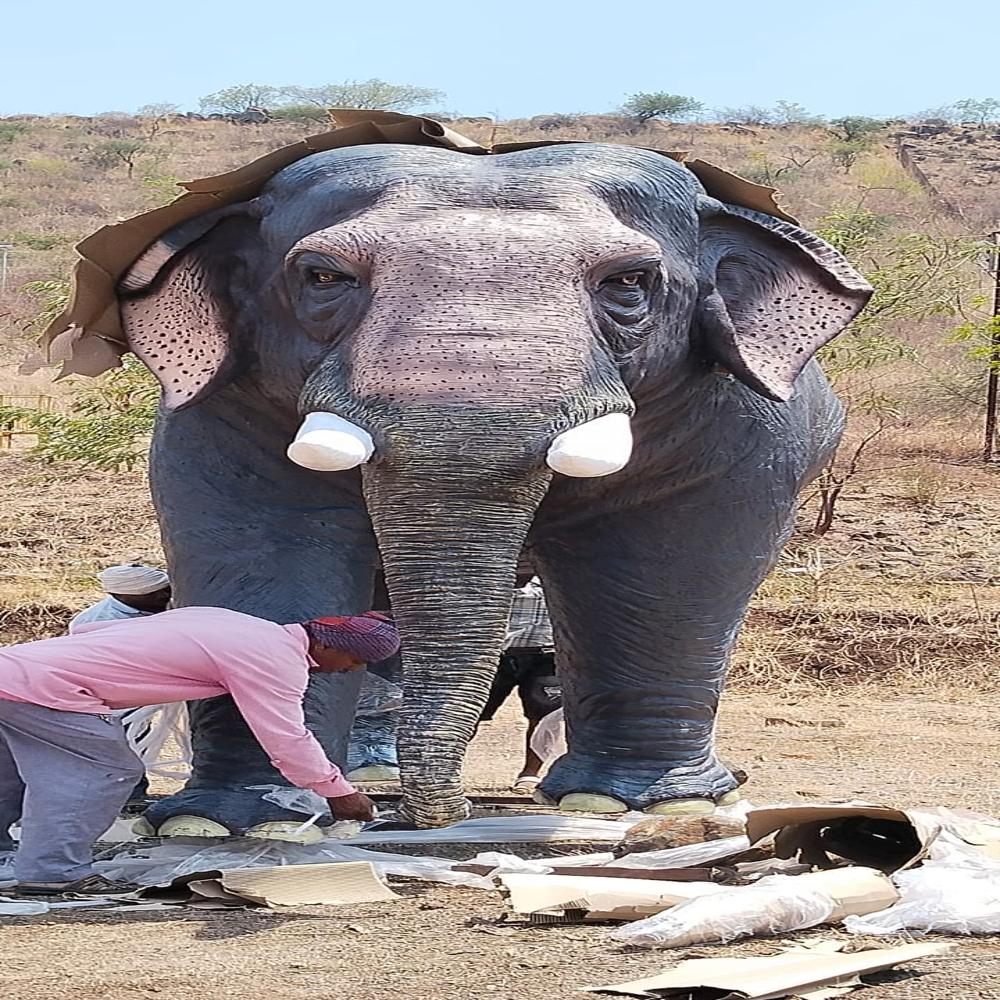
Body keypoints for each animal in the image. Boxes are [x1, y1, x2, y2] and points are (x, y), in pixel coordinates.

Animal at [81, 135, 870, 832]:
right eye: (324, 276)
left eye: (628, 281)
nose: (441, 815)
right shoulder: (220, 404)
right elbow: (261, 546)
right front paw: (235, 824)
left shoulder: (736, 420)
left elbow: (671, 558)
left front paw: (654, 808)